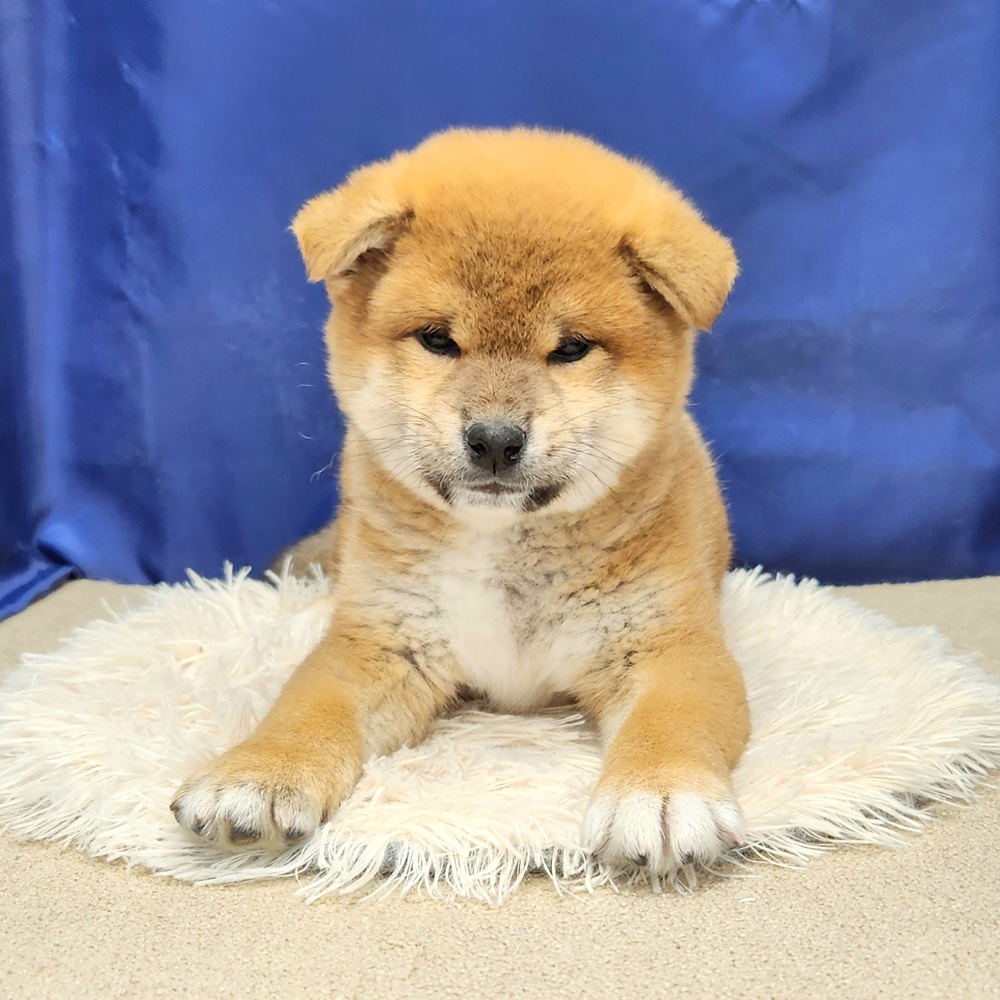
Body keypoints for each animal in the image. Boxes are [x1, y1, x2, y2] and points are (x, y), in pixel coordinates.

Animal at [171, 128, 750, 874]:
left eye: (570, 349)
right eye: (438, 340)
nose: (496, 441)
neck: (503, 550)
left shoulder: (667, 647)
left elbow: (673, 721)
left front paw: (661, 793)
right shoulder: (382, 644)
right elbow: (305, 708)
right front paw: (259, 774)